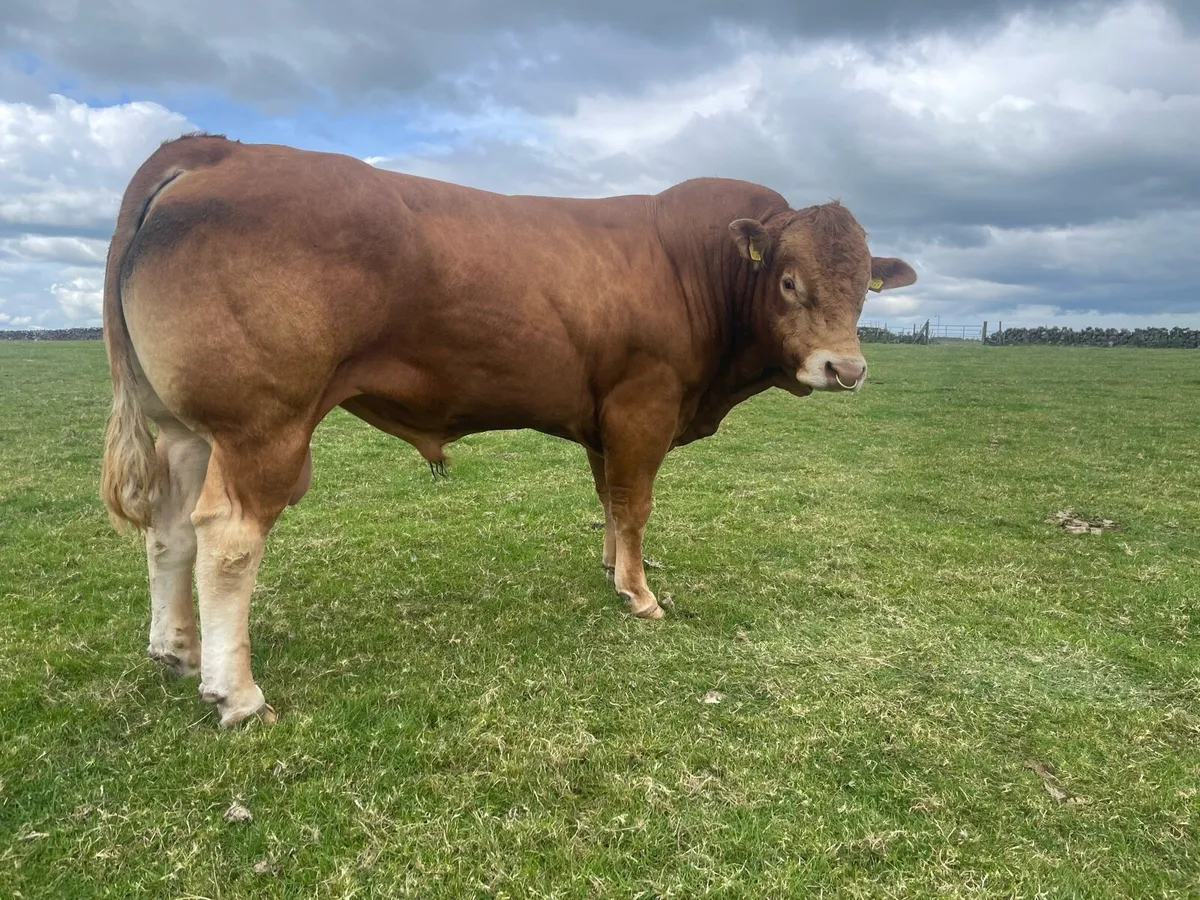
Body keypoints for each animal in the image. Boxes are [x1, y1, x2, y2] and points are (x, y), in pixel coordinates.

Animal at [100, 133, 916, 727]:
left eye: (863, 287)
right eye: (789, 280)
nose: (845, 368)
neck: (699, 270)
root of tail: (222, 149)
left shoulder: (602, 420)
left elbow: (611, 502)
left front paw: (612, 573)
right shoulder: (643, 405)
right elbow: (637, 503)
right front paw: (641, 595)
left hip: (183, 429)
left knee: (168, 531)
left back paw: (175, 651)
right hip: (262, 425)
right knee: (228, 541)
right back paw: (236, 695)